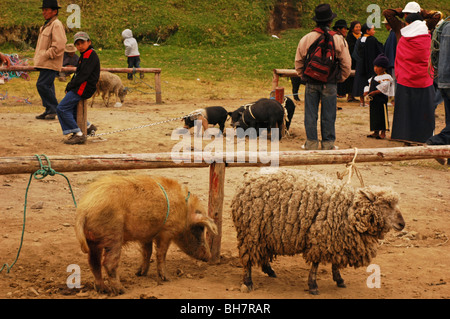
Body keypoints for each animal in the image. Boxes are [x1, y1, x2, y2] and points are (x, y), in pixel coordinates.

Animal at [75, 175, 218, 296]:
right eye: (200, 228)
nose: (208, 256)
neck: (185, 211)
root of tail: (84, 209)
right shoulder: (166, 231)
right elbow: (161, 254)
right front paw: (167, 279)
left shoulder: (146, 234)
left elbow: (147, 252)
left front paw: (140, 273)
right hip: (113, 235)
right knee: (108, 263)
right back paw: (121, 290)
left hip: (93, 240)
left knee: (94, 262)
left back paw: (103, 289)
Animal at [230, 169, 406, 296]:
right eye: (387, 204)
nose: (402, 224)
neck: (349, 210)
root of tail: (246, 181)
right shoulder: (320, 238)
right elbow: (315, 264)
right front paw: (313, 286)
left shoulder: (337, 240)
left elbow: (335, 263)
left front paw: (339, 279)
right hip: (250, 232)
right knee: (247, 259)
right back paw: (248, 282)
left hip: (262, 232)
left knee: (262, 253)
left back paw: (269, 270)